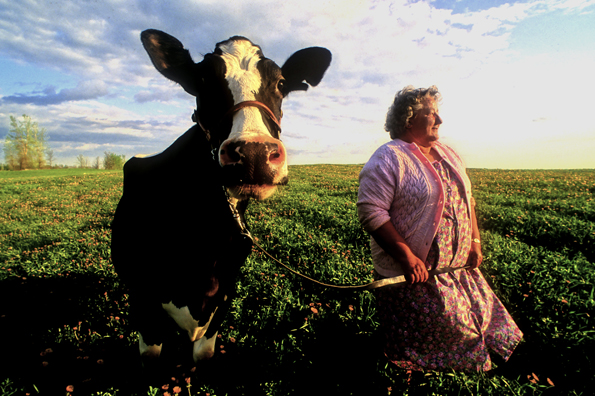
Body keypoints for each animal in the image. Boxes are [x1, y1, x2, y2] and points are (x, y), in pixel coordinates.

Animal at [110, 29, 330, 366]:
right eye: (203, 79)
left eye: (281, 83)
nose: (254, 154)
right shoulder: (143, 300)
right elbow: (151, 352)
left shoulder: (226, 291)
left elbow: (204, 353)